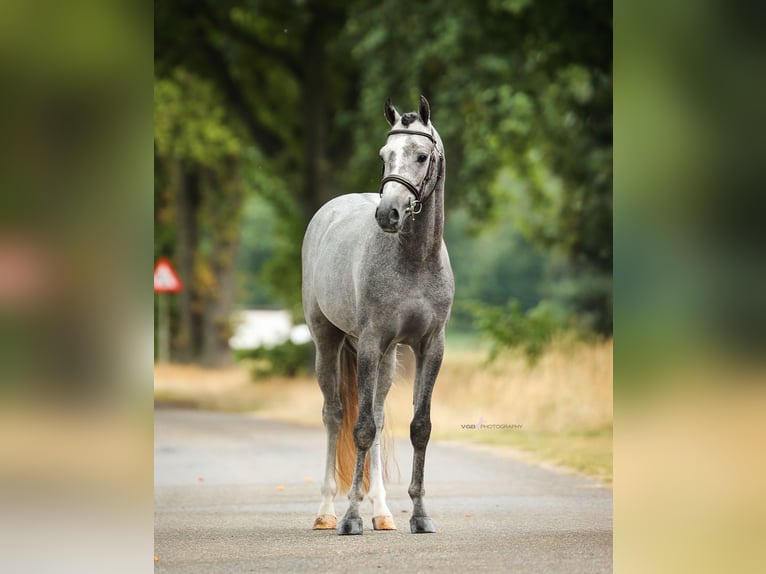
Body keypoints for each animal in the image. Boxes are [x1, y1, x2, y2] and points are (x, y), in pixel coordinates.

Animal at [301, 96, 454, 535]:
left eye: (421, 156)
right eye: (385, 155)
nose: (388, 214)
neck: (414, 260)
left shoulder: (430, 347)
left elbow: (419, 427)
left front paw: (420, 515)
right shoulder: (369, 344)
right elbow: (362, 427)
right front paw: (351, 517)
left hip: (388, 358)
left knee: (382, 416)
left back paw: (383, 512)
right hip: (328, 342)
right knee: (335, 415)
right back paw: (327, 511)